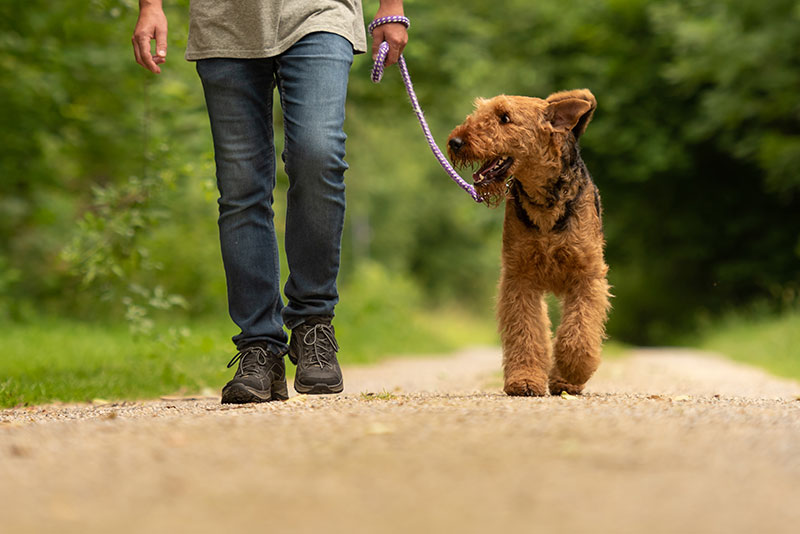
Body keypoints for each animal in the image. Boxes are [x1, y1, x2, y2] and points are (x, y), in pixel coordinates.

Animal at [446, 90, 608, 396]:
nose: (455, 142)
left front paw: (571, 370)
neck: (544, 203)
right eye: (480, 112)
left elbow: (579, 333)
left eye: (504, 117)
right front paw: (524, 380)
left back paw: (565, 380)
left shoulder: (587, 275)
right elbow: (525, 333)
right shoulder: (519, 277)